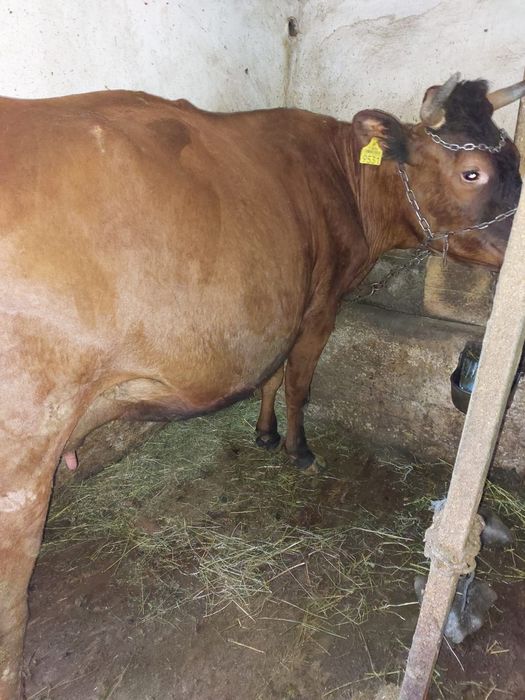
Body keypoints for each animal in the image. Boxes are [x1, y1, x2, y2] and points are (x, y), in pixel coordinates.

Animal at [0, 73, 523, 697]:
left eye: (516, 160)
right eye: (472, 172)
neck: (342, 174)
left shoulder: (288, 306)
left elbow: (272, 374)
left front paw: (265, 433)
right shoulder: (322, 302)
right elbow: (298, 381)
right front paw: (298, 448)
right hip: (23, 453)